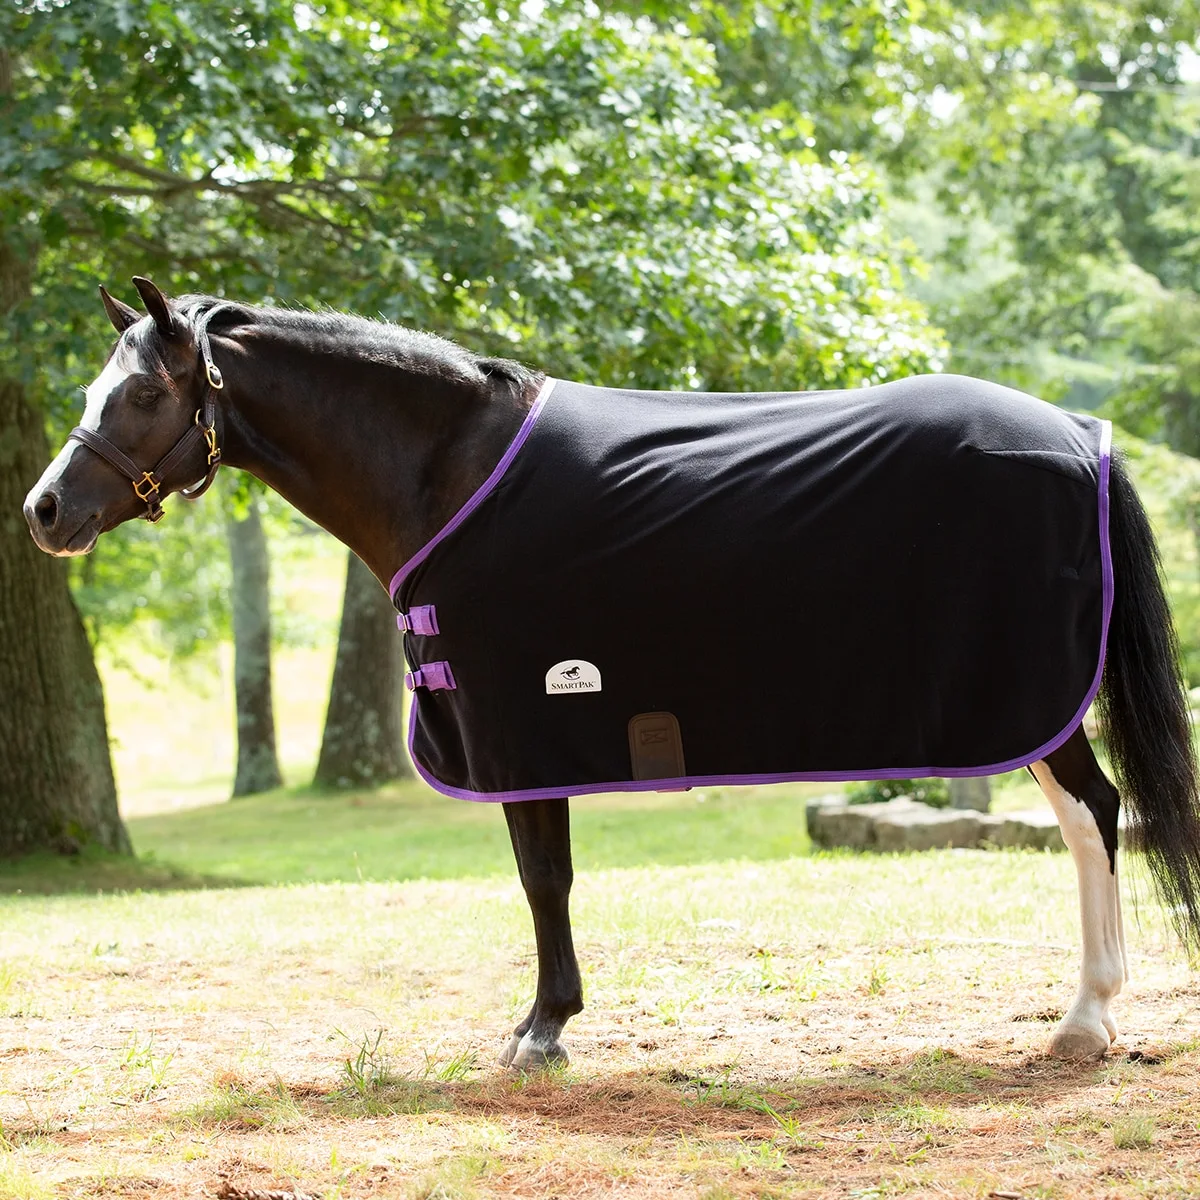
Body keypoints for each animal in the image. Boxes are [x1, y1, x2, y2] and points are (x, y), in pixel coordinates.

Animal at [23, 276, 1200, 1069]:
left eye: (141, 396)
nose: (44, 510)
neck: (447, 467)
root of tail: (1081, 436)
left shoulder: (519, 723)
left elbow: (544, 877)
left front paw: (542, 1030)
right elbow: (546, 877)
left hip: (1032, 703)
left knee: (1096, 815)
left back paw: (1087, 1019)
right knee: (1094, 816)